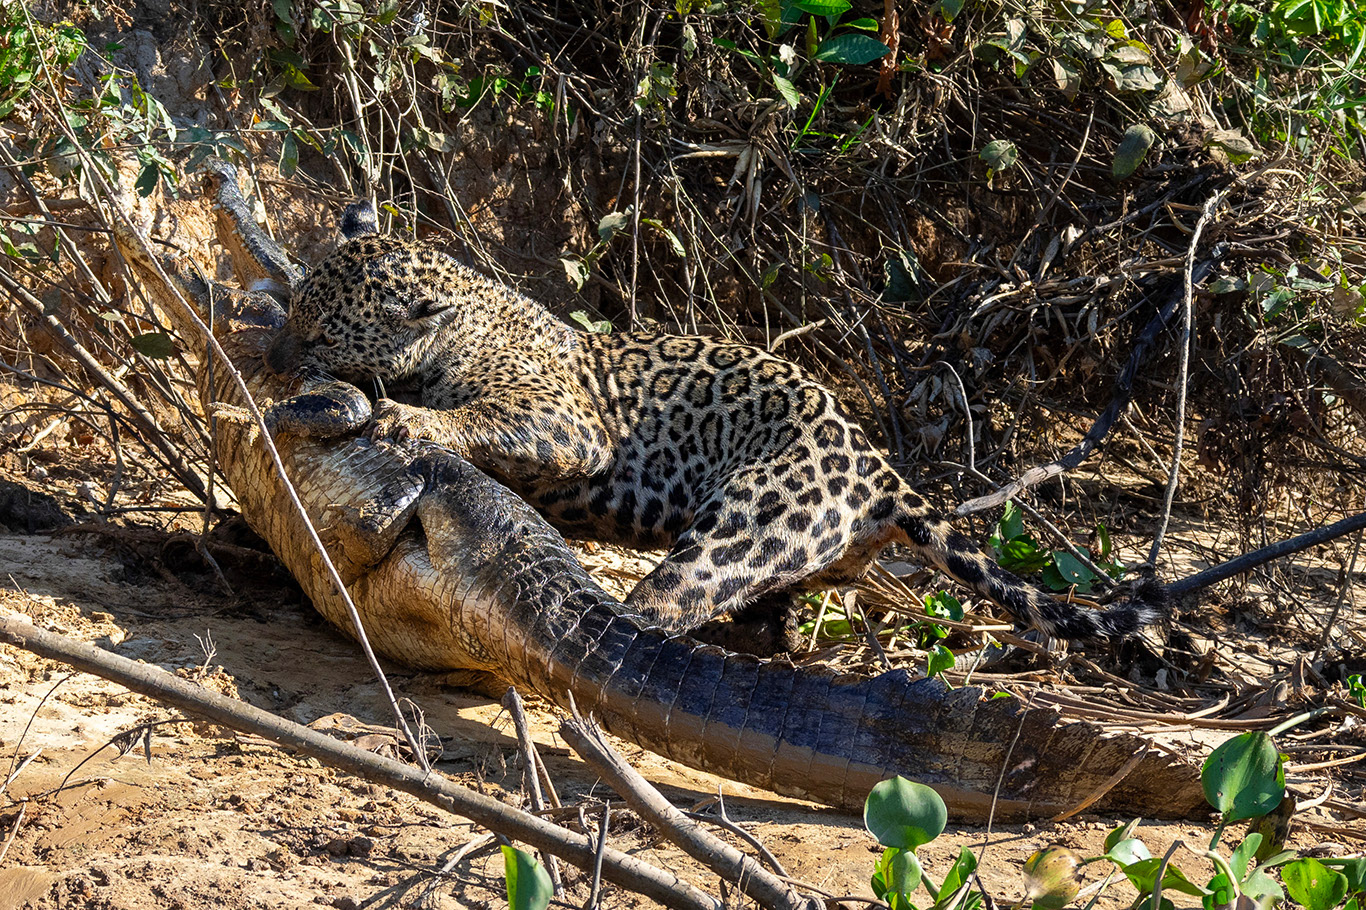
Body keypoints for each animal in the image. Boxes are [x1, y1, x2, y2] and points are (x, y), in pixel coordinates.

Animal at [262, 203, 1164, 650]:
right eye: (301, 313)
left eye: (324, 335)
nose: (279, 357)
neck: (462, 319)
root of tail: (882, 472)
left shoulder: (566, 419)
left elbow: (474, 414)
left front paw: (406, 418)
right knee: (770, 615)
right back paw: (769, 635)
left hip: (743, 527)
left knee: (659, 611)